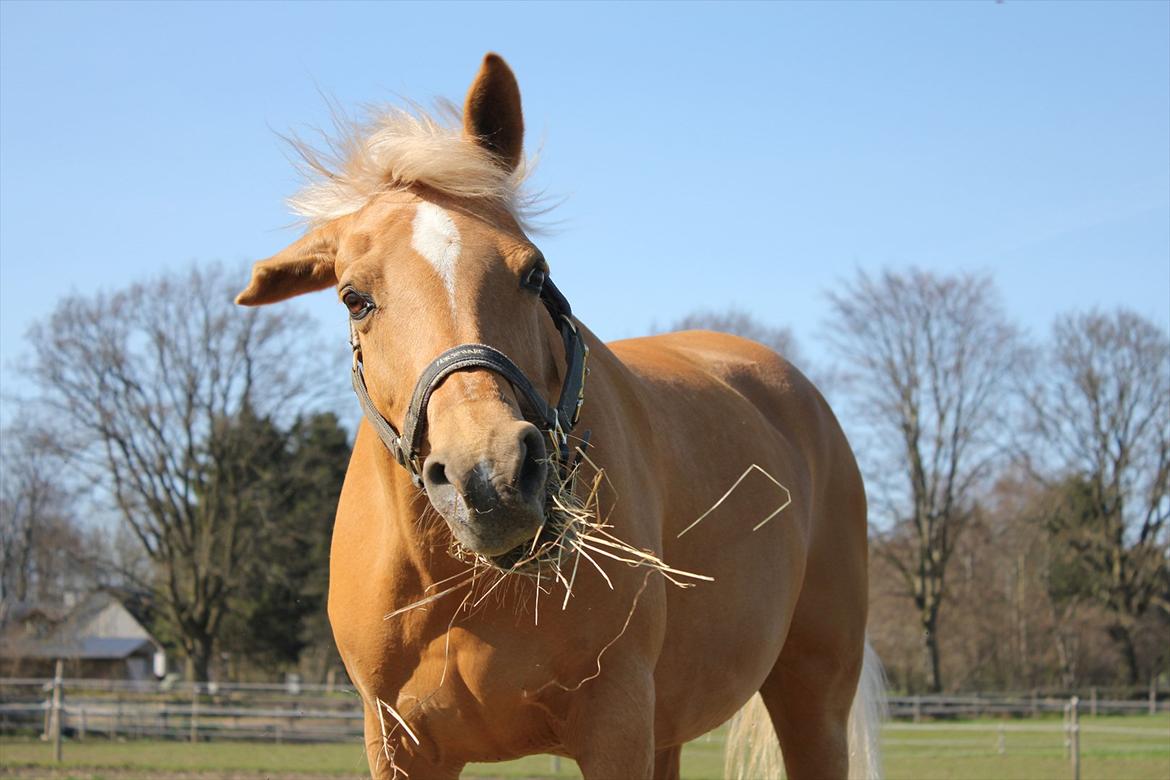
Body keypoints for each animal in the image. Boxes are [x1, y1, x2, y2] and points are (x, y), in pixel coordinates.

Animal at [235, 51, 879, 776]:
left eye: (534, 273)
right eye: (355, 298)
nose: (489, 477)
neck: (460, 586)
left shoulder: (614, 726)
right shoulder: (398, 741)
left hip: (813, 700)